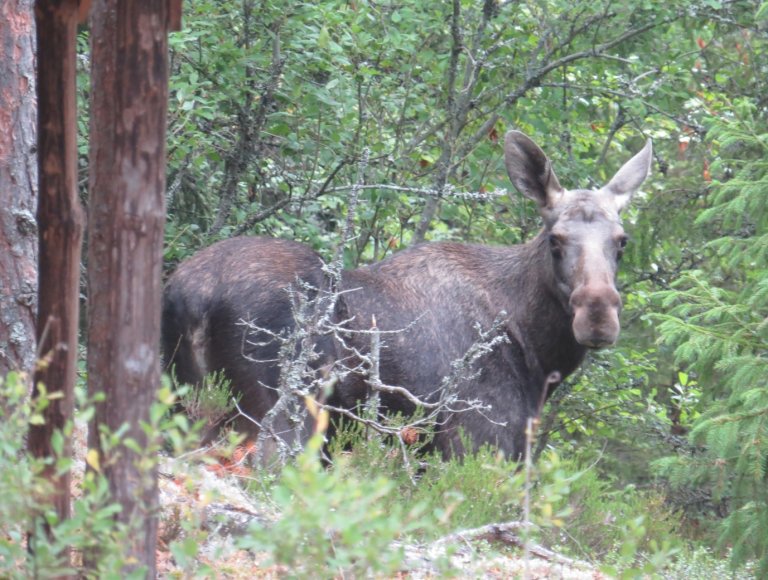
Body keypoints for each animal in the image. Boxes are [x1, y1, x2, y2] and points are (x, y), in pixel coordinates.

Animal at [164, 130, 656, 458]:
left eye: (621, 241)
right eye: (555, 240)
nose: (598, 316)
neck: (538, 351)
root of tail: (192, 295)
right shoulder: (478, 440)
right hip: (286, 414)